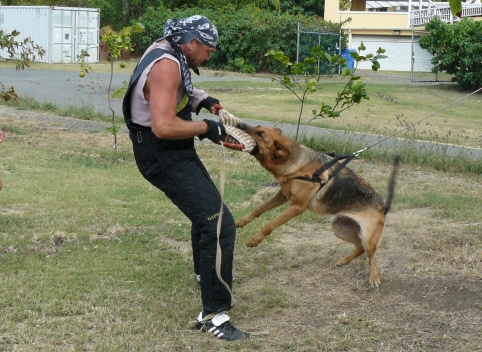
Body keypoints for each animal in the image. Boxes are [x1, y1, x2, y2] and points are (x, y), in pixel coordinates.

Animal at [236, 124, 400, 286]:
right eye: (257, 127)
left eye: (261, 134)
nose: (239, 124)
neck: (296, 162)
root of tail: (383, 207)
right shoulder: (282, 195)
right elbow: (259, 209)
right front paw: (242, 222)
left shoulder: (296, 207)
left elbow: (269, 225)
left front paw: (255, 239)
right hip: (338, 228)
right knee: (360, 248)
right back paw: (344, 261)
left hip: (367, 237)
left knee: (371, 255)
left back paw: (374, 277)